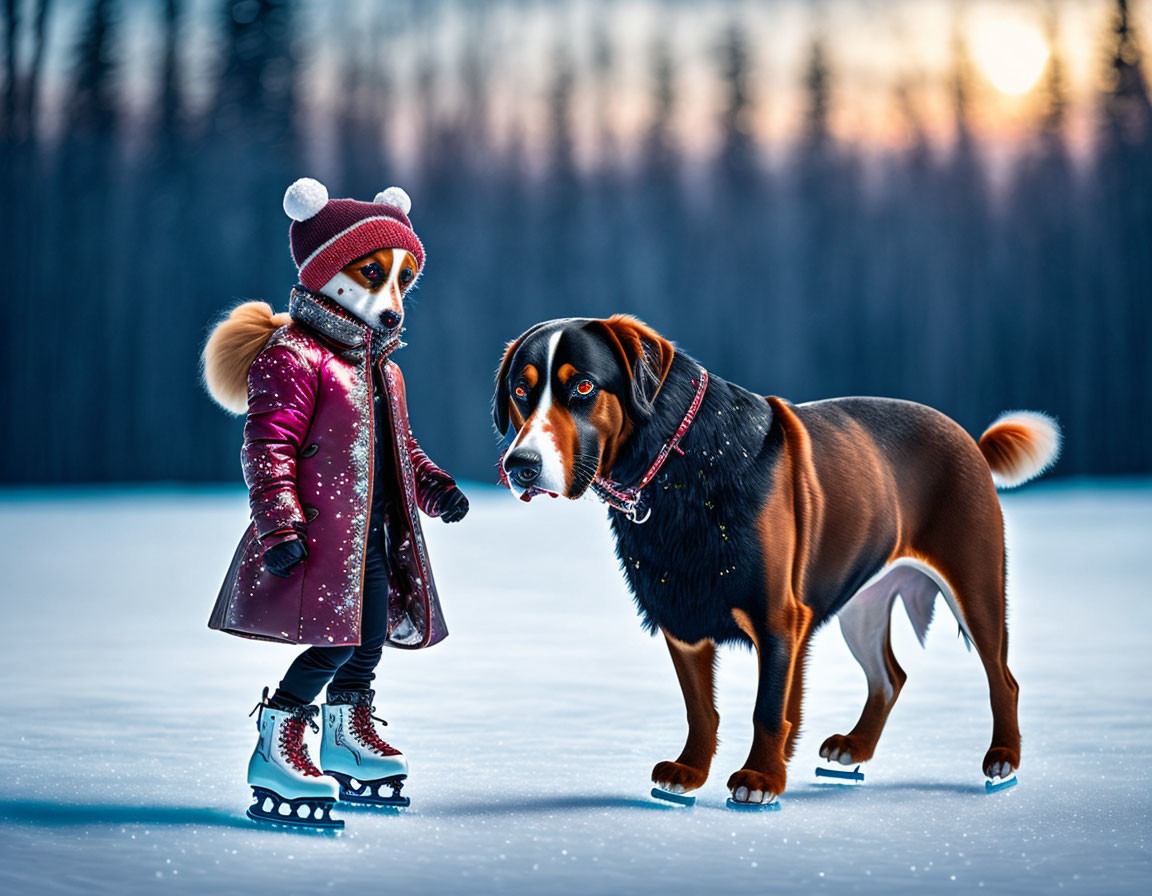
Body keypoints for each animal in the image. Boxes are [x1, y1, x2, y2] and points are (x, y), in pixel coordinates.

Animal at [490, 313, 1055, 801]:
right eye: (520, 391)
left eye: (584, 387)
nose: (521, 465)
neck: (677, 471)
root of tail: (969, 439)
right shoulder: (681, 615)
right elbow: (700, 707)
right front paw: (690, 771)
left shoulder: (778, 617)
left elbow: (769, 707)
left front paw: (760, 779)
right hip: (862, 605)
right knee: (889, 677)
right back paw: (855, 748)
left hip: (974, 583)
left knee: (1002, 678)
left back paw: (1003, 759)